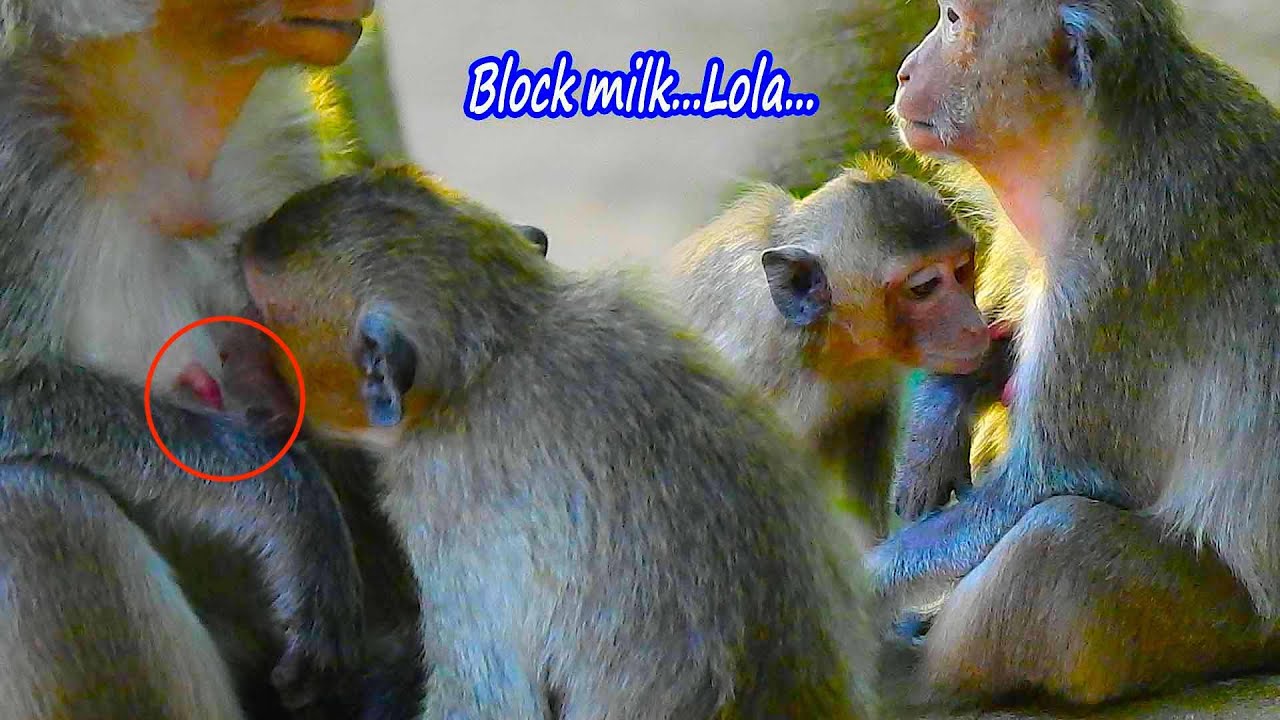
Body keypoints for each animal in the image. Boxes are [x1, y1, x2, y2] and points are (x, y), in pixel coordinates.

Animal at [866, 0, 1280, 706]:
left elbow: (1053, 479)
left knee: (1055, 542)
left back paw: (911, 681)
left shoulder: (1115, 274)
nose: (903, 71)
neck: (1094, 143)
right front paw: (937, 416)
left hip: (1223, 626)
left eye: (953, 19)